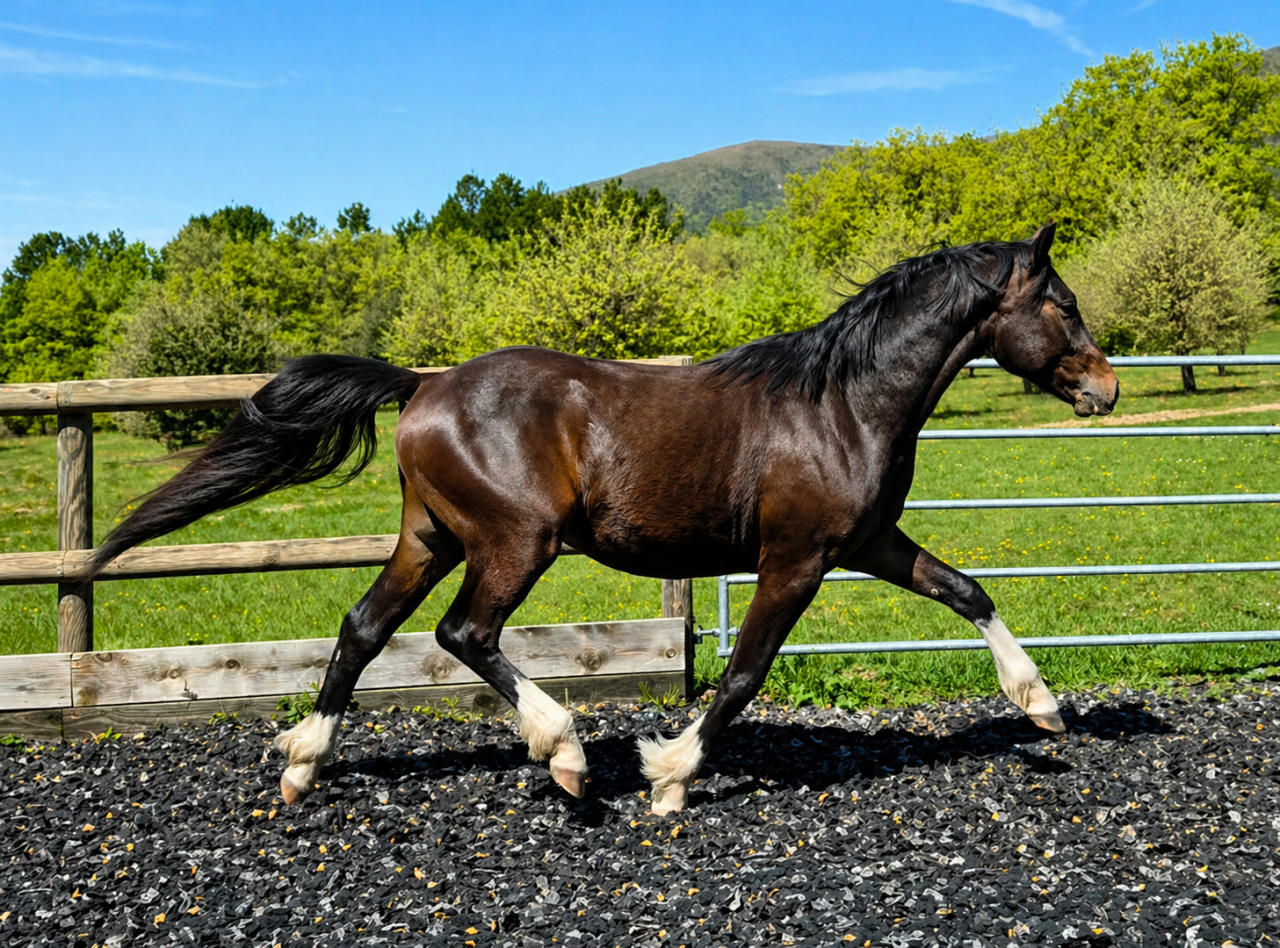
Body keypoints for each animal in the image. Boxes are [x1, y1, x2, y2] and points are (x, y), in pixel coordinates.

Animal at [87, 223, 1117, 815]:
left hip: (430, 537)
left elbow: (968, 591)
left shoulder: (864, 542)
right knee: (463, 634)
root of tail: (422, 384)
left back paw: (304, 766)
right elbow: (744, 675)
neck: (843, 403)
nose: (1105, 389)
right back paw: (568, 755)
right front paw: (670, 778)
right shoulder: (796, 559)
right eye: (1063, 306)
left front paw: (1043, 706)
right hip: (514, 542)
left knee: (362, 629)